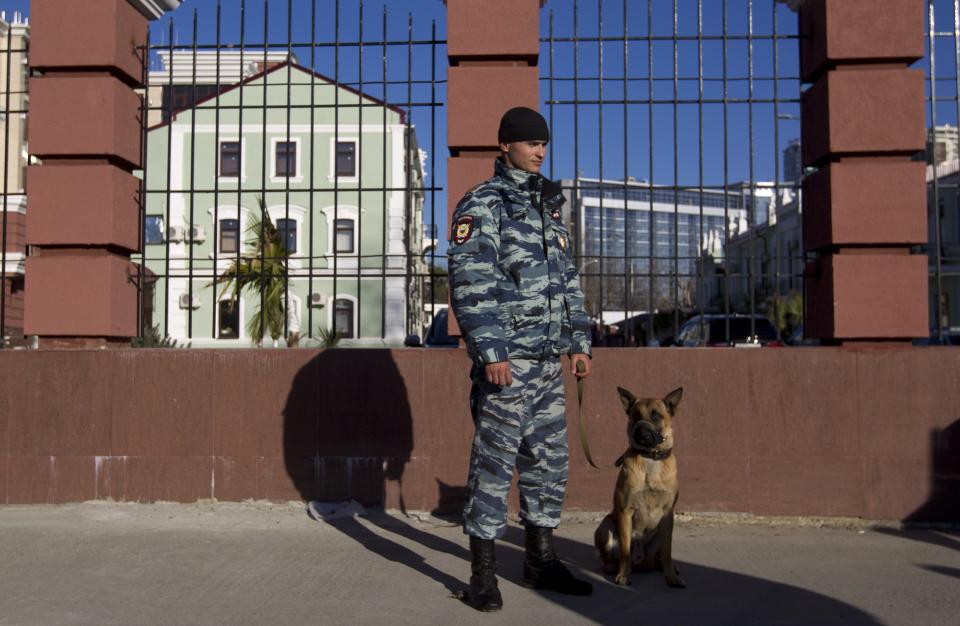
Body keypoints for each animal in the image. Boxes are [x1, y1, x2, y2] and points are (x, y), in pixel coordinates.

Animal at [596, 386, 688, 584]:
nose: (642, 433)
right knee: (609, 555)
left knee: (659, 556)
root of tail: (641, 561)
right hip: (607, 524)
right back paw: (611, 566)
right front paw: (624, 575)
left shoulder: (668, 515)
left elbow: (667, 552)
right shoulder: (625, 511)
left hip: (659, 535)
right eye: (635, 415)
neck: (650, 458)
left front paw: (670, 577)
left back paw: (668, 568)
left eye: (656, 416)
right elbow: (624, 551)